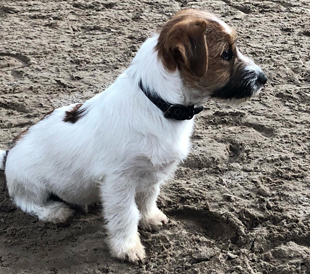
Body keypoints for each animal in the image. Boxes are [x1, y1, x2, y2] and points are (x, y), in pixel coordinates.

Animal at [0, 9, 266, 262]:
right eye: (226, 54)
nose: (264, 77)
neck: (159, 104)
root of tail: (9, 152)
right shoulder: (119, 182)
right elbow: (126, 215)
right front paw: (127, 248)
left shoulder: (151, 173)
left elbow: (148, 197)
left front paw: (150, 217)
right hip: (30, 184)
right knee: (28, 203)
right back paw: (54, 212)